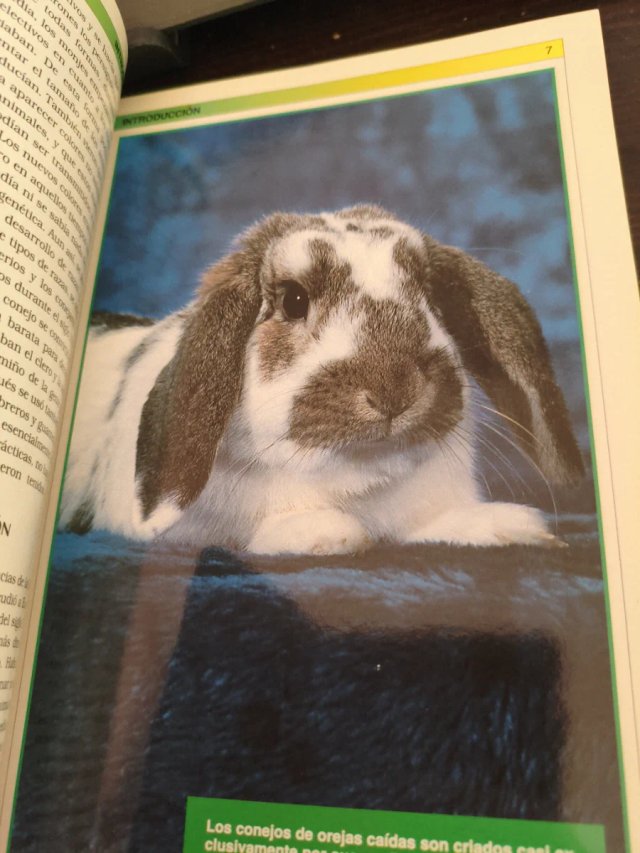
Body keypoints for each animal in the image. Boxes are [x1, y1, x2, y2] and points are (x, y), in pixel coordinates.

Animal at [59, 205, 584, 554]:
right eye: (293, 300)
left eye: (431, 299)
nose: (395, 389)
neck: (354, 476)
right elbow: (242, 534)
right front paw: (324, 532)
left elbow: (438, 523)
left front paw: (511, 525)